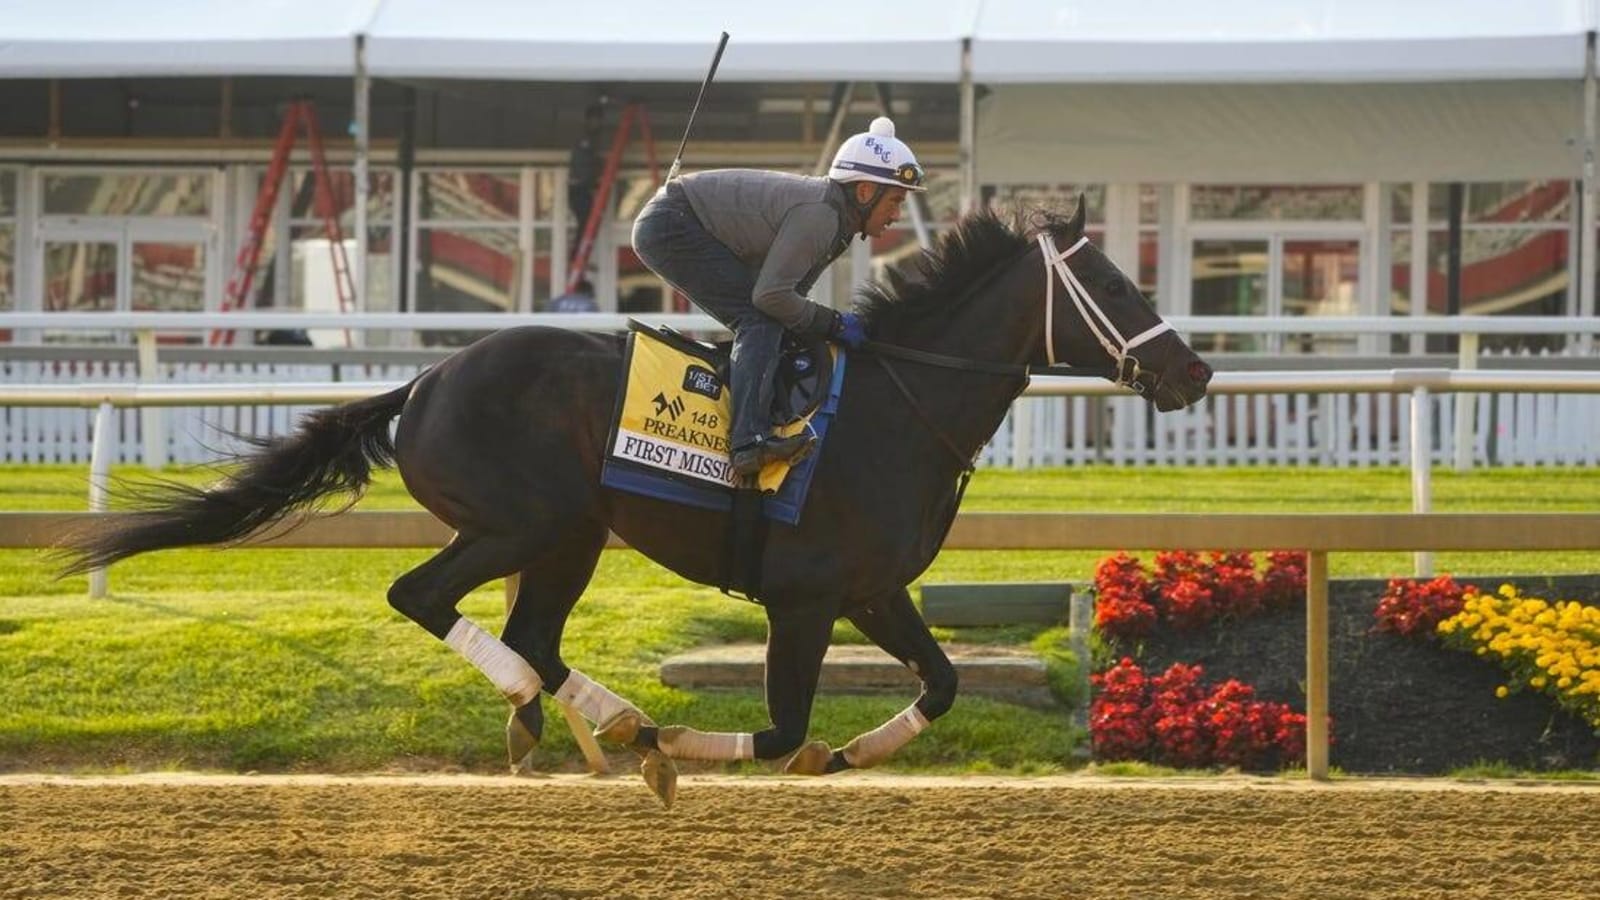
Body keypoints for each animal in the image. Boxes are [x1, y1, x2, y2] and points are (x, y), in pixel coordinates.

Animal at [62, 199, 1209, 800]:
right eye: (1115, 287)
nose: (1194, 375)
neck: (897, 404)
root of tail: (424, 382)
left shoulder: (873, 592)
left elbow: (942, 683)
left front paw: (851, 751)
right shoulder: (804, 599)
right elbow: (781, 726)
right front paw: (694, 751)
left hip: (570, 536)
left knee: (535, 636)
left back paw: (594, 721)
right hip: (519, 523)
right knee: (426, 599)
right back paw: (589, 724)